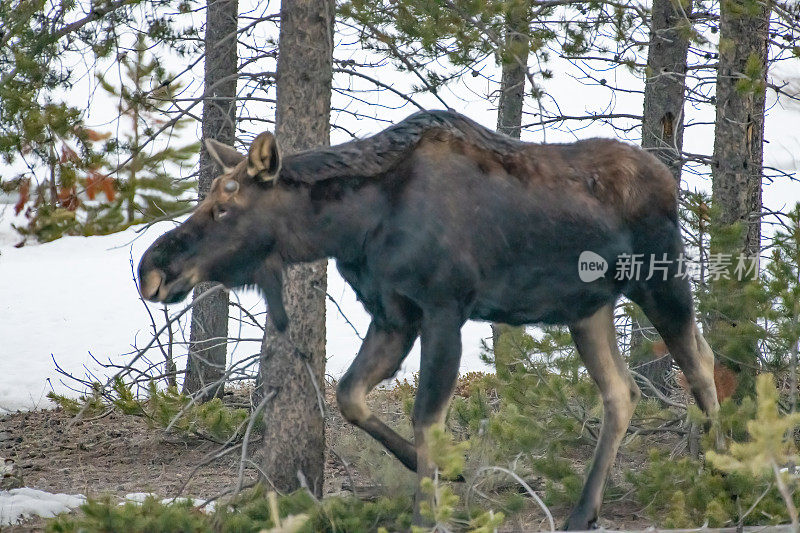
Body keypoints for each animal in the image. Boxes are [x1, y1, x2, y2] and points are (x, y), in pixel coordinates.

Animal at [138, 109, 720, 528]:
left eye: (224, 207)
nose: (150, 269)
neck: (354, 227)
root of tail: (670, 178)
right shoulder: (394, 315)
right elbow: (350, 396)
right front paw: (448, 471)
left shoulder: (444, 309)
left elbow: (425, 416)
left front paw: (429, 507)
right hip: (589, 309)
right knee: (624, 391)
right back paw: (584, 512)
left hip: (661, 278)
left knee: (700, 364)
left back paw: (723, 472)